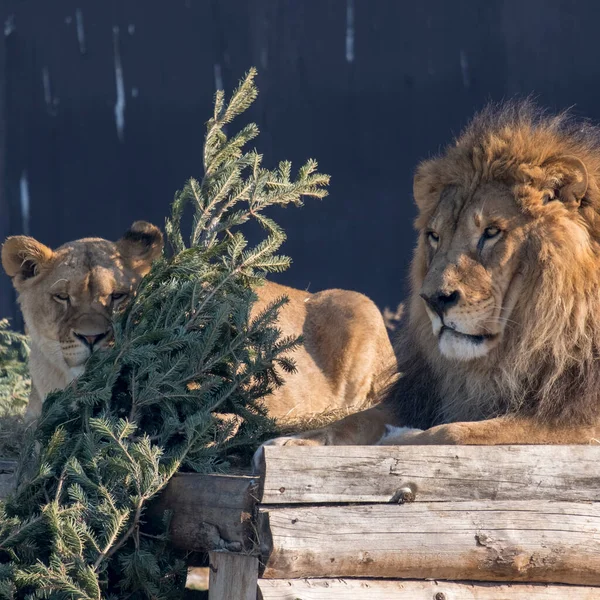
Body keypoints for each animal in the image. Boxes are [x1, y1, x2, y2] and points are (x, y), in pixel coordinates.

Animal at [262, 99, 600, 450]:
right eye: (435, 236)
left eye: (491, 232)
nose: (434, 301)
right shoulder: (422, 397)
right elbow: (353, 420)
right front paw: (292, 441)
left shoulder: (579, 419)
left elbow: (451, 433)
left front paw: (399, 437)